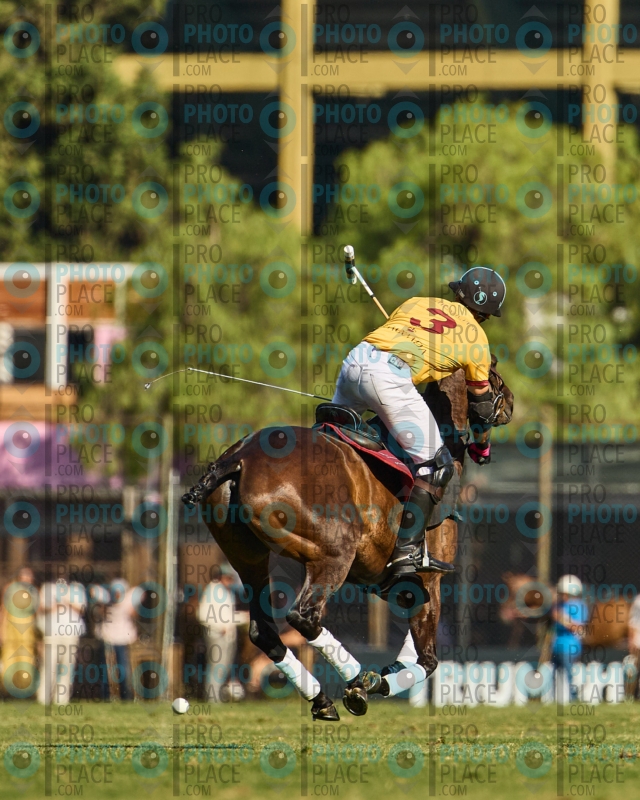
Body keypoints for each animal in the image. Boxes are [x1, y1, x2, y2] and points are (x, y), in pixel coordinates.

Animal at [182, 359, 514, 720]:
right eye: (494, 374)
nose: (510, 404)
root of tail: (240, 456)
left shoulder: (396, 585)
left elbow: (416, 651)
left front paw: (386, 673)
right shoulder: (429, 579)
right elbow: (428, 660)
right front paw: (380, 682)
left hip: (249, 560)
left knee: (264, 630)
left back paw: (322, 699)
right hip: (333, 554)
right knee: (304, 616)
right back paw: (359, 679)